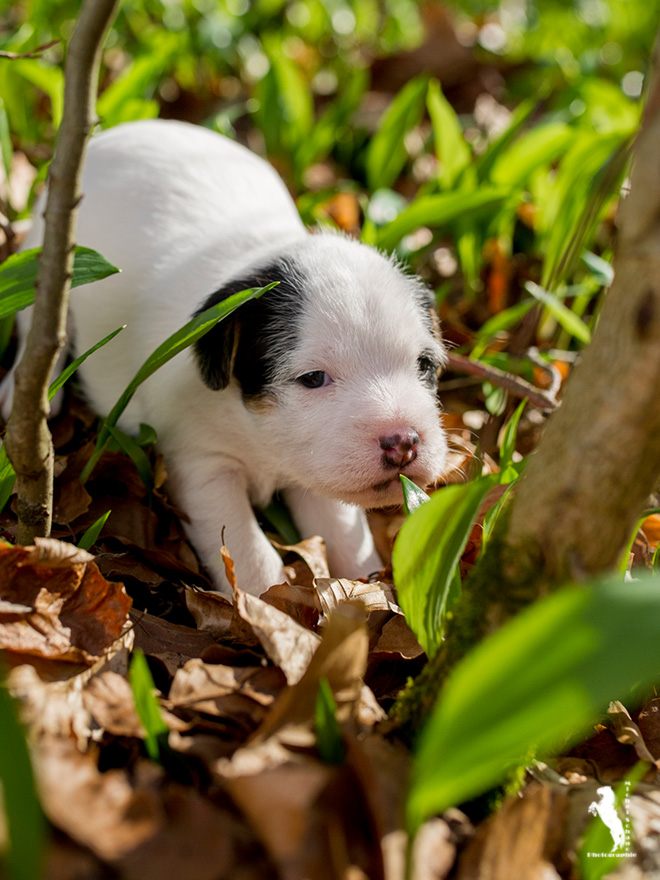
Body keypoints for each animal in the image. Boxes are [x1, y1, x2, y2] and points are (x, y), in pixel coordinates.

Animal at [0, 118, 448, 600]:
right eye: (313, 378)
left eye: (424, 366)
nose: (403, 442)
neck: (254, 428)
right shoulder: (202, 465)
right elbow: (248, 549)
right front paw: (266, 607)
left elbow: (344, 528)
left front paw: (368, 585)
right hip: (45, 262)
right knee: (40, 330)